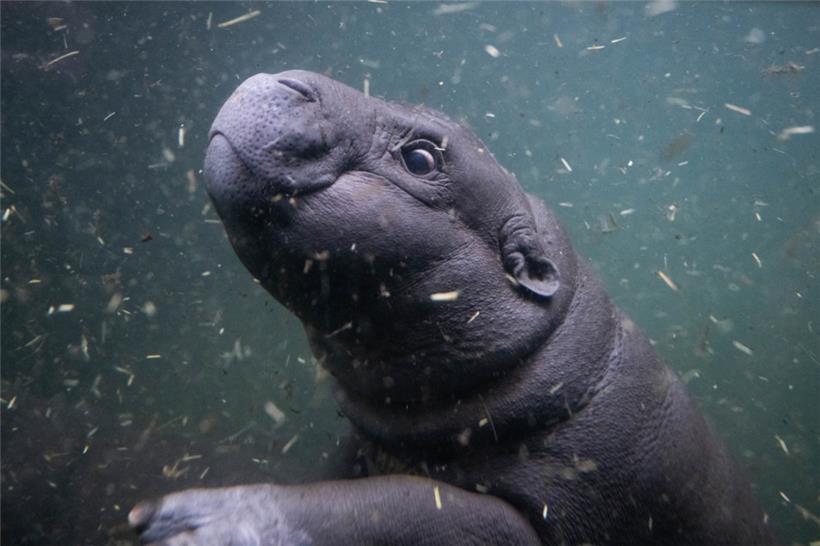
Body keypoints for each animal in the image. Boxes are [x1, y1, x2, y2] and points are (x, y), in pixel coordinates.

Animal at [129, 70, 777, 545]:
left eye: (421, 159)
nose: (284, 78)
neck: (560, 360)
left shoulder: (544, 510)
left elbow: (397, 507)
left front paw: (183, 522)